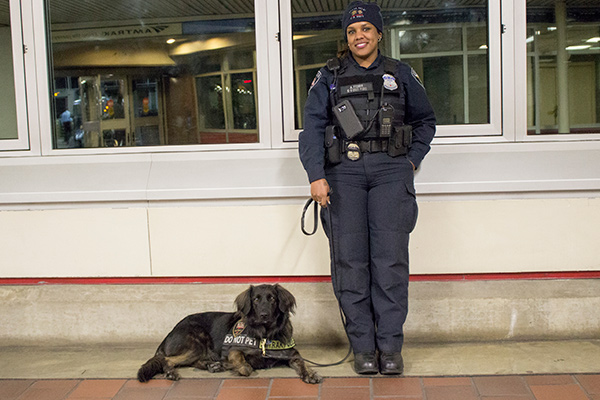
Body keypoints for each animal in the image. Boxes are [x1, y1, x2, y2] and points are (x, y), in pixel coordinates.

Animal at [137, 282, 324, 382]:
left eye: (272, 299)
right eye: (256, 299)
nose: (264, 315)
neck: (265, 335)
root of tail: (170, 332)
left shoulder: (292, 355)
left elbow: (303, 364)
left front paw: (310, 374)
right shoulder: (234, 350)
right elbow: (244, 365)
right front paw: (239, 367)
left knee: (194, 361)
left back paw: (213, 365)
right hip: (197, 342)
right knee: (167, 360)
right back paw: (172, 372)